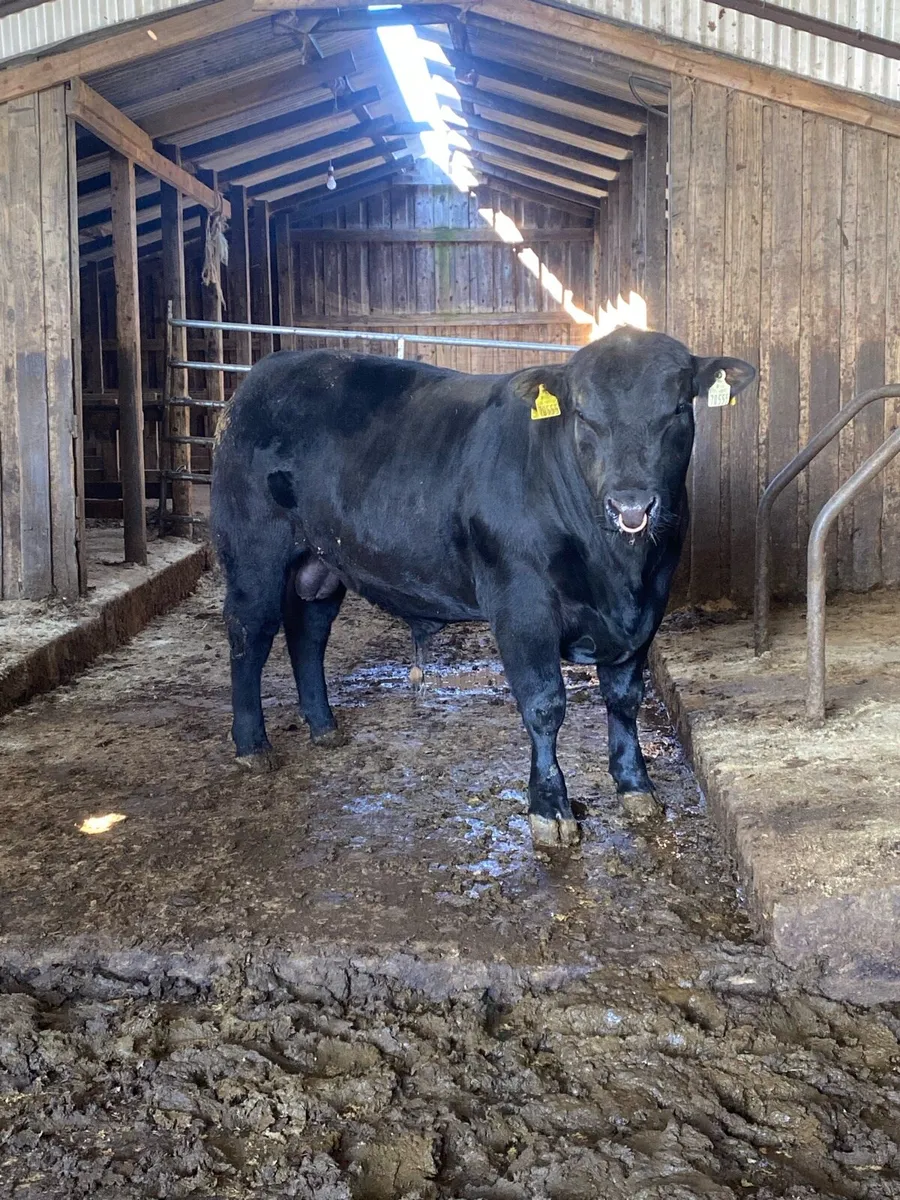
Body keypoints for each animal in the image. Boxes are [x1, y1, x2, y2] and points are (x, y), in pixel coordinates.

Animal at [210, 328, 754, 847]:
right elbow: (544, 705)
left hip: (323, 563)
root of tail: (269, 370)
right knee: (250, 634)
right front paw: (550, 810)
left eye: (679, 408)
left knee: (309, 633)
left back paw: (323, 727)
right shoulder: (522, 605)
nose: (631, 504)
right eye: (583, 414)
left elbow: (624, 698)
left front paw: (636, 787)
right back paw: (252, 745)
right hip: (253, 550)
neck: (618, 573)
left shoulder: (648, 607)